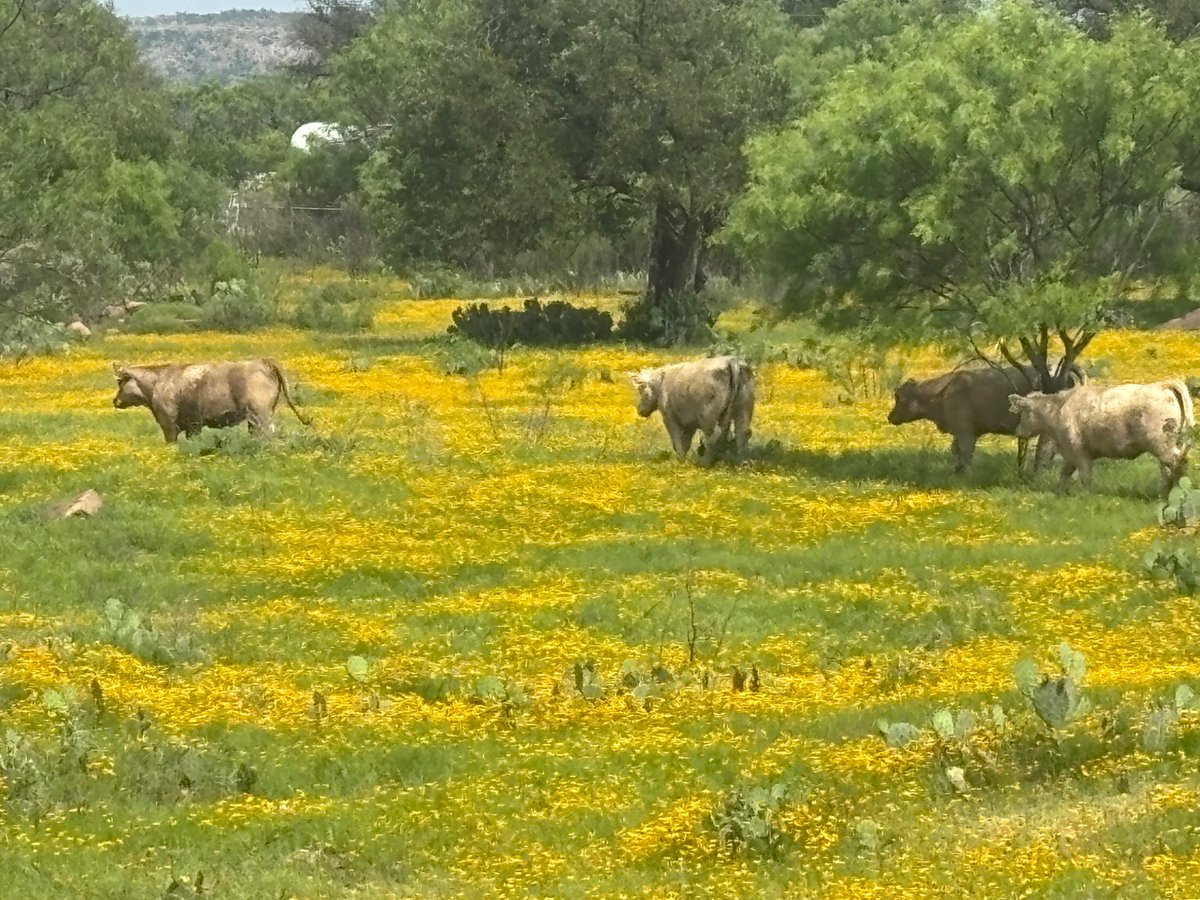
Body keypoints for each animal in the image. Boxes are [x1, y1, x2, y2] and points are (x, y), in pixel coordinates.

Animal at [112, 358, 311, 443]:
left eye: (120, 382)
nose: (114, 400)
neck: (157, 383)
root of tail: (263, 361)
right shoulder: (193, 425)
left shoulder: (168, 423)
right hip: (254, 419)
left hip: (261, 415)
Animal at [887, 364, 1082, 473]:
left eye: (899, 397)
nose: (890, 417)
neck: (943, 392)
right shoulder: (968, 432)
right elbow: (957, 450)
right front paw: (957, 470)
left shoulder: (964, 431)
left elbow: (965, 452)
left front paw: (966, 474)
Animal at [1009, 381, 1195, 494]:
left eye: (1022, 413)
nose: (1018, 430)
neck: (1058, 408)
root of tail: (1161, 384)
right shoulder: (1070, 454)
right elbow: (1064, 474)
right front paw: (1058, 493)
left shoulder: (1078, 451)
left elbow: (1085, 476)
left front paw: (1086, 496)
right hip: (1168, 443)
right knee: (1167, 468)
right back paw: (1164, 493)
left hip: (1160, 443)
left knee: (1178, 463)